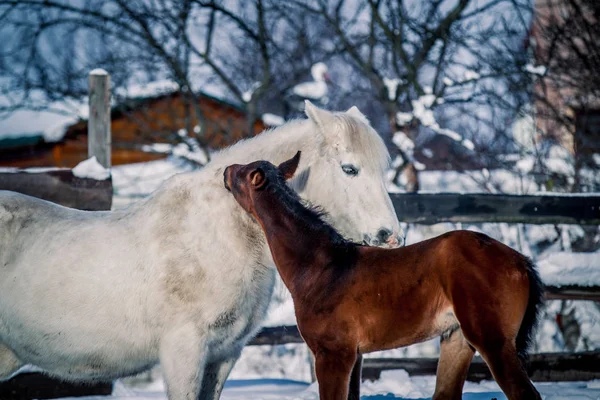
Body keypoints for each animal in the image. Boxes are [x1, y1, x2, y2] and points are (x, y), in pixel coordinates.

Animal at [224, 152, 544, 398]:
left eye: (243, 174)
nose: (226, 170)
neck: (320, 268)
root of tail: (520, 261)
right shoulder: (355, 357)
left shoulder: (333, 354)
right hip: (457, 341)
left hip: (493, 342)